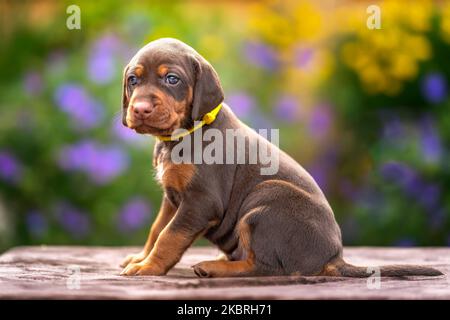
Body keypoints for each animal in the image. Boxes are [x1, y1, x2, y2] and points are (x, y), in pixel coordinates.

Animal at [118, 37, 440, 278]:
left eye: (172, 79)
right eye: (133, 79)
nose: (141, 109)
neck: (183, 135)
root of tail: (333, 258)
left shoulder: (200, 201)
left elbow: (169, 236)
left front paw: (148, 267)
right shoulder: (173, 199)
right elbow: (157, 229)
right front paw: (140, 257)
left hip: (265, 200)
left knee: (265, 267)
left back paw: (213, 267)